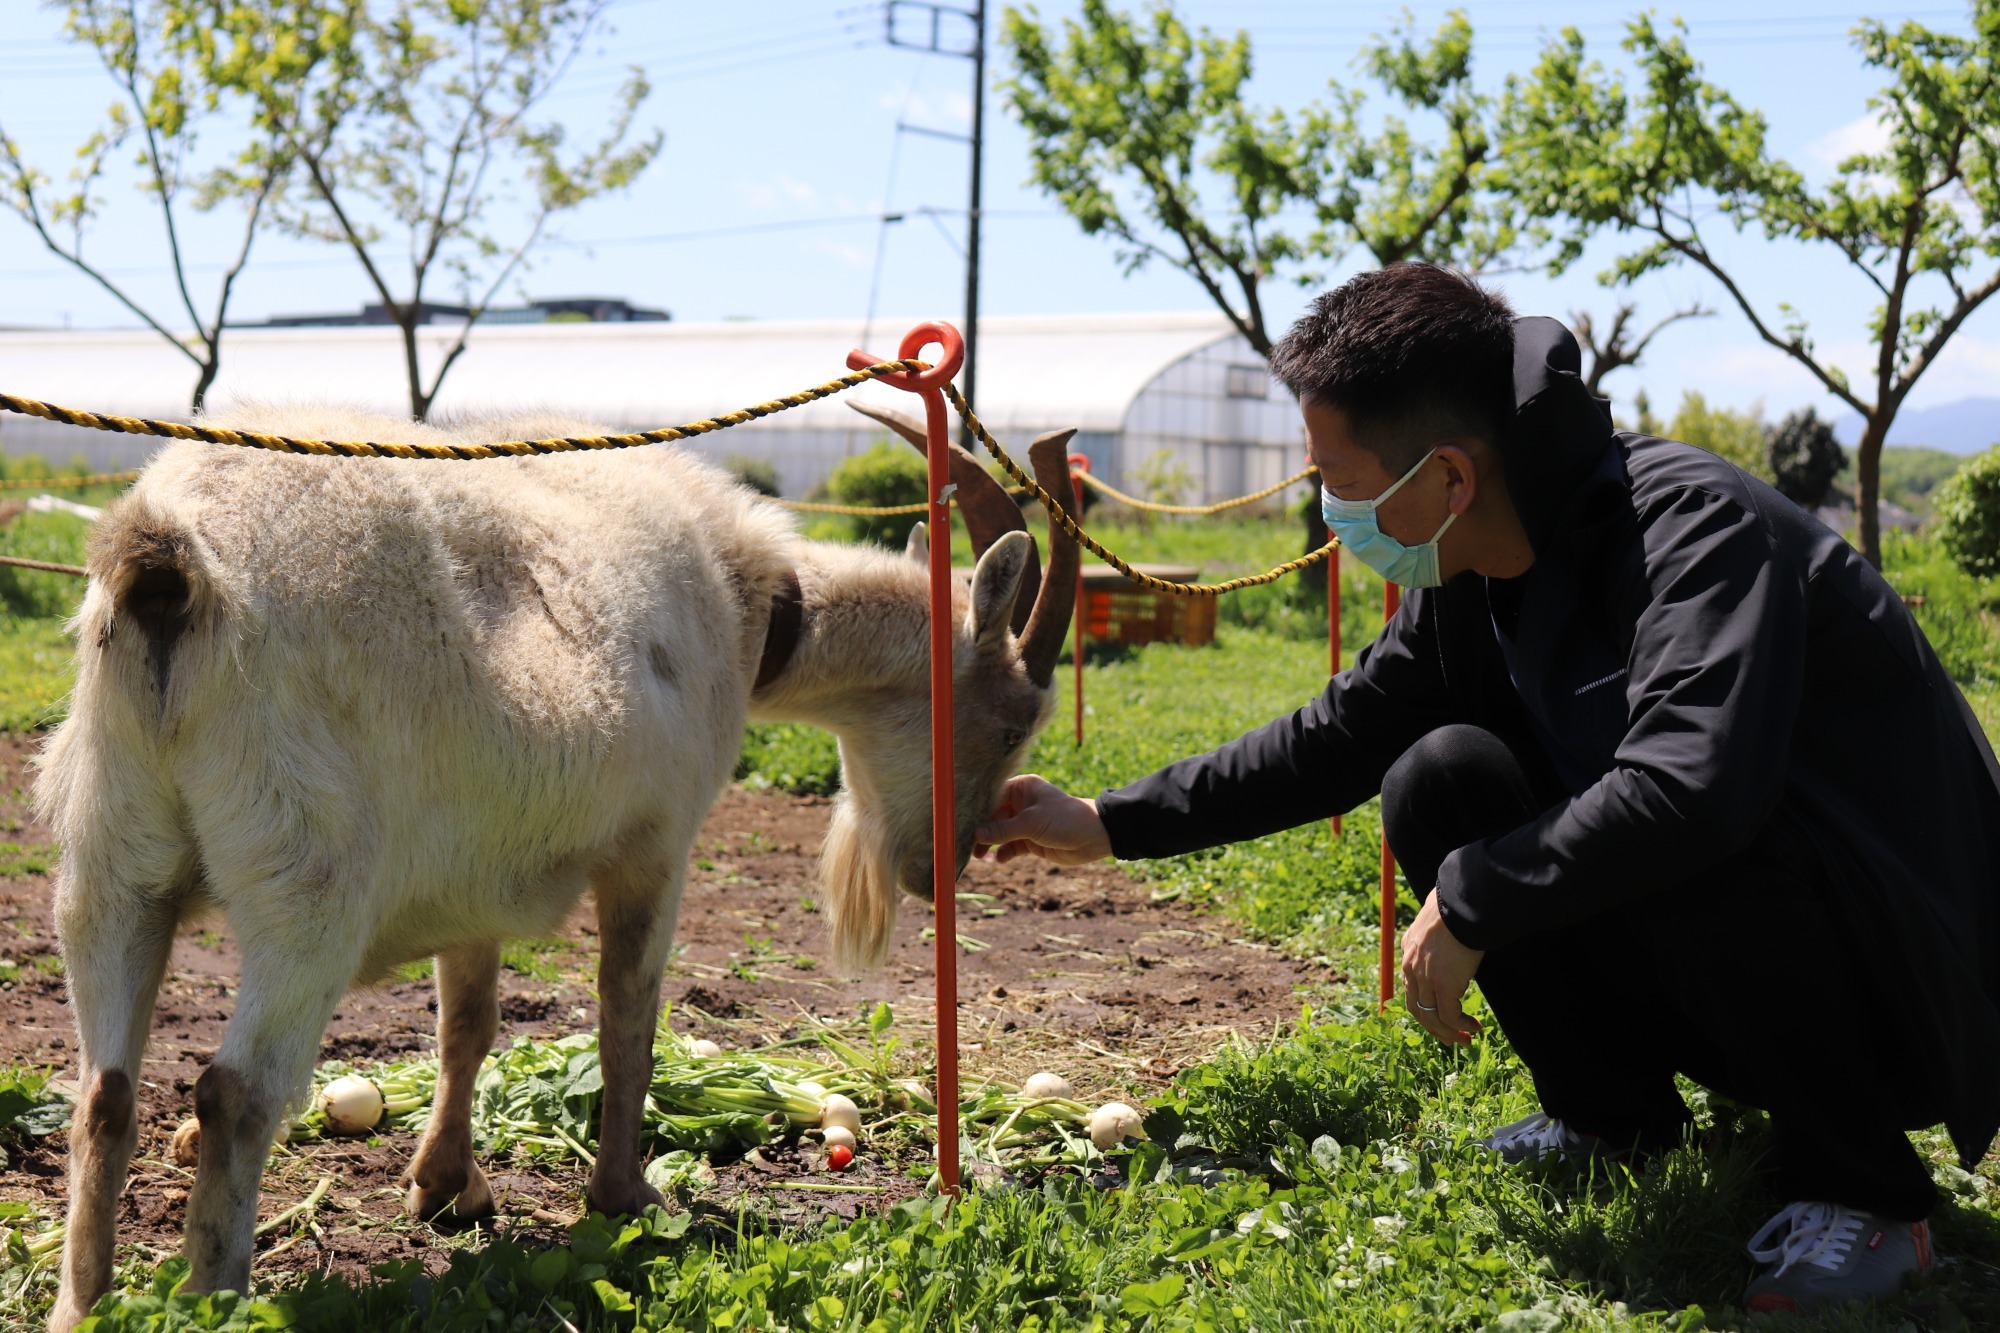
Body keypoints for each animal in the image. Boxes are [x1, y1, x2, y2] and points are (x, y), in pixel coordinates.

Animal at [35, 400, 1080, 1320]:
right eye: (1015, 719)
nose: (945, 868)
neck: (742, 600)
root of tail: (164, 556)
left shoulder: (469, 871)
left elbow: (468, 1022)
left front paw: (446, 1186)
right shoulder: (657, 842)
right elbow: (628, 1014)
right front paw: (624, 1196)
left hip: (110, 859)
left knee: (105, 1093)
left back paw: (82, 1303)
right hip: (306, 880)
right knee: (236, 1090)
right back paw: (215, 1297)